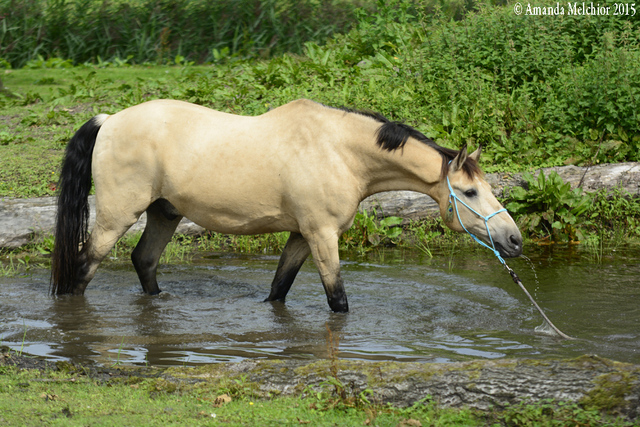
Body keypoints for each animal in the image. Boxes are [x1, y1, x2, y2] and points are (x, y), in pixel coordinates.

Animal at [48, 100, 520, 314]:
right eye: (470, 193)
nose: (513, 239)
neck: (338, 151)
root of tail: (109, 120)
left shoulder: (301, 235)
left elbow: (279, 289)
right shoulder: (323, 235)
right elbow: (337, 300)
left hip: (165, 213)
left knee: (144, 260)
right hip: (115, 218)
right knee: (83, 268)